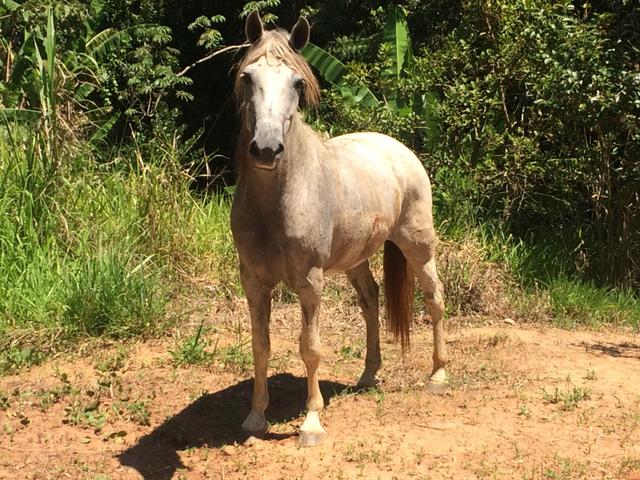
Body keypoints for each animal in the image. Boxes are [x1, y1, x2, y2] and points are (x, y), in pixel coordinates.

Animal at [231, 11, 450, 446]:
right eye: (248, 77)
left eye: (297, 83)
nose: (266, 149)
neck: (276, 203)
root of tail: (399, 149)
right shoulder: (253, 281)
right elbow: (260, 346)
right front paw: (255, 417)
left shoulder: (309, 282)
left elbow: (310, 348)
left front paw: (311, 423)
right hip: (355, 259)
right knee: (371, 300)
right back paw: (368, 374)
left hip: (418, 247)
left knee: (434, 299)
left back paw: (437, 375)